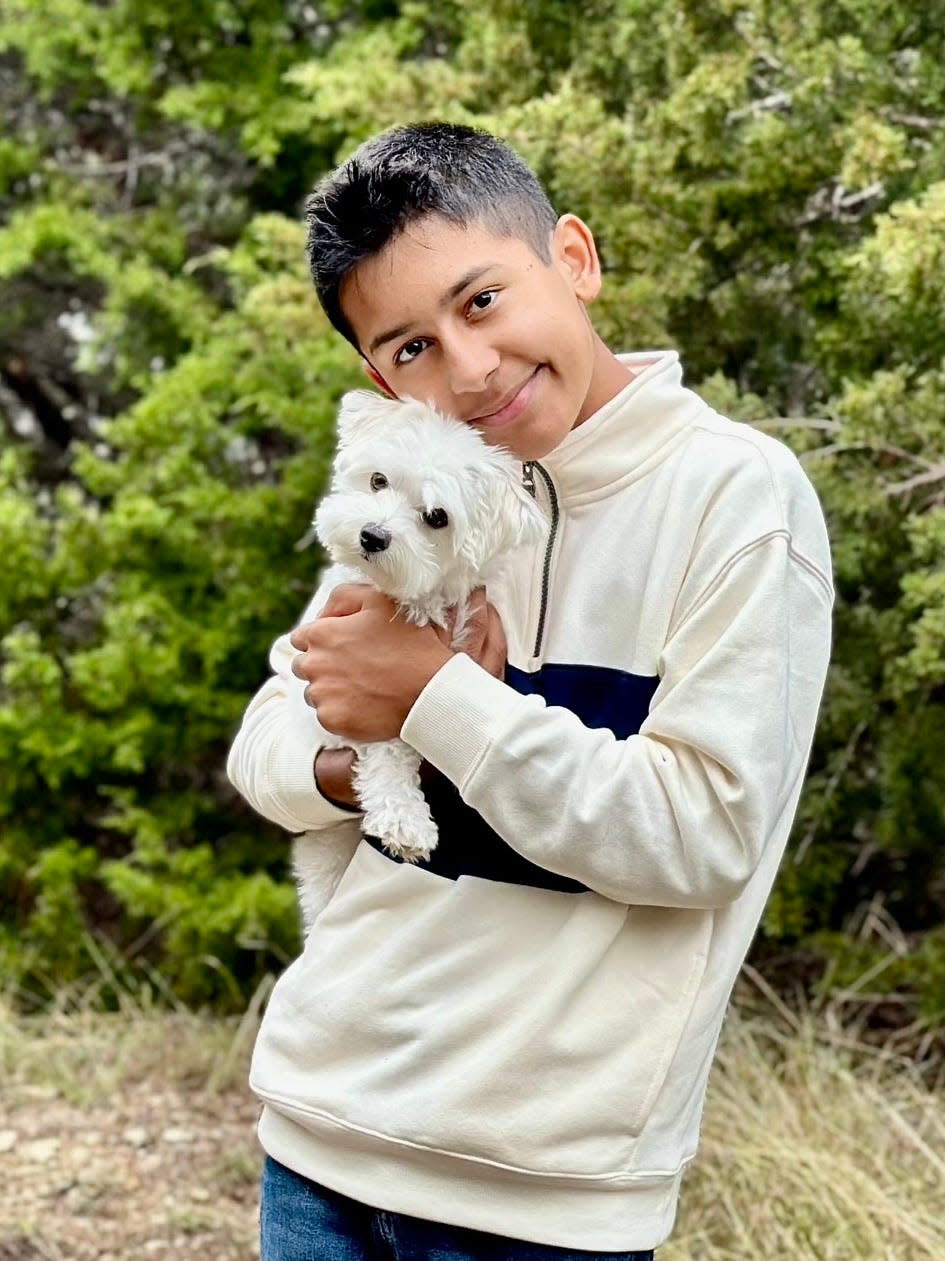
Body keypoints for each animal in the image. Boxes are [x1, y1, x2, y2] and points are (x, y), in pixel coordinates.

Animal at [292, 383, 545, 928]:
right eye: (378, 480)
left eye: (436, 518)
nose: (372, 535)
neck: (411, 600)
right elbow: (387, 746)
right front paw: (405, 819)